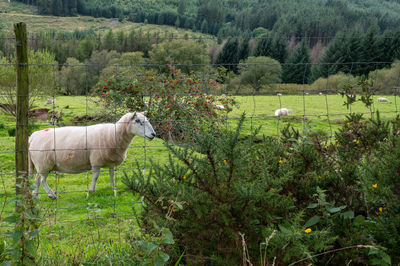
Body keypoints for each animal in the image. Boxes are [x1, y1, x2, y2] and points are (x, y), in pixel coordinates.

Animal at [27, 111, 156, 198]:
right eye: (137, 121)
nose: (153, 134)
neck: (114, 134)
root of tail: (33, 136)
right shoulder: (96, 161)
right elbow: (95, 176)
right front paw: (91, 190)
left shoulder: (111, 162)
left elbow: (112, 174)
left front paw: (112, 187)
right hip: (44, 164)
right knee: (42, 180)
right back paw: (51, 194)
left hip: (41, 164)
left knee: (37, 179)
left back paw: (35, 194)